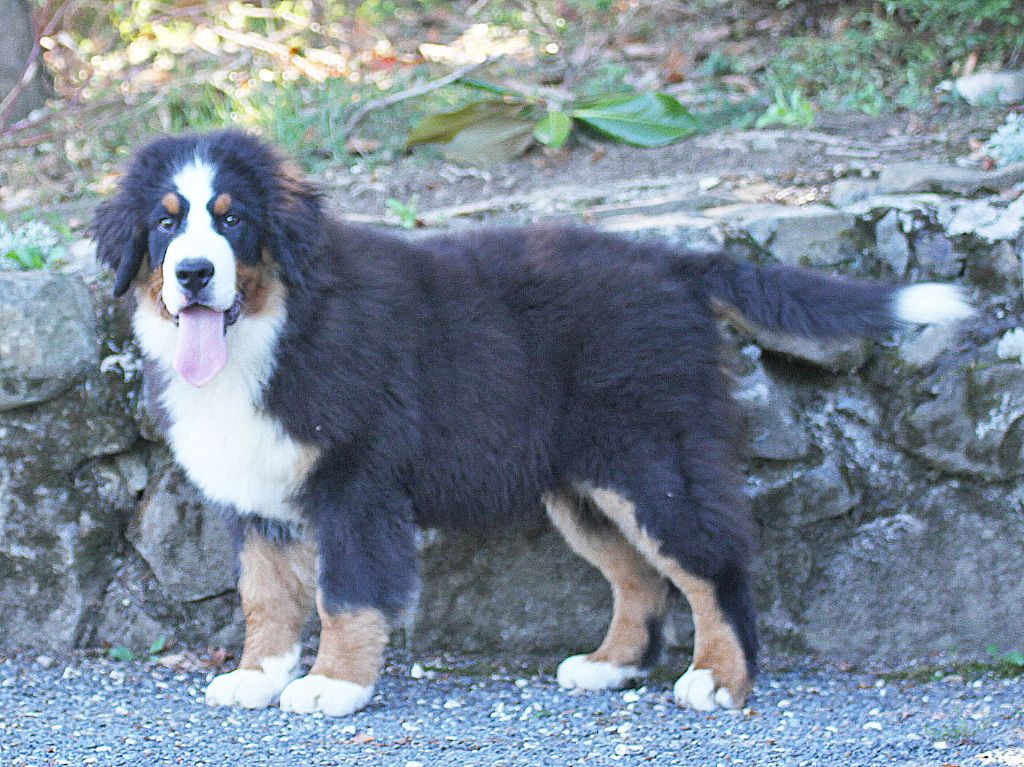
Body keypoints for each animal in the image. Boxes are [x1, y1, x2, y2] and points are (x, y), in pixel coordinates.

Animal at [96, 130, 974, 716]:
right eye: (167, 223)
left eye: (234, 220)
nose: (193, 273)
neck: (276, 324)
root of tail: (674, 262)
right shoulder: (257, 491)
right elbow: (266, 595)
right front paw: (259, 673)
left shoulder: (356, 482)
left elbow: (346, 592)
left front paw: (332, 685)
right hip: (583, 484)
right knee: (640, 578)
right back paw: (611, 665)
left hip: (648, 458)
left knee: (713, 566)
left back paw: (720, 678)